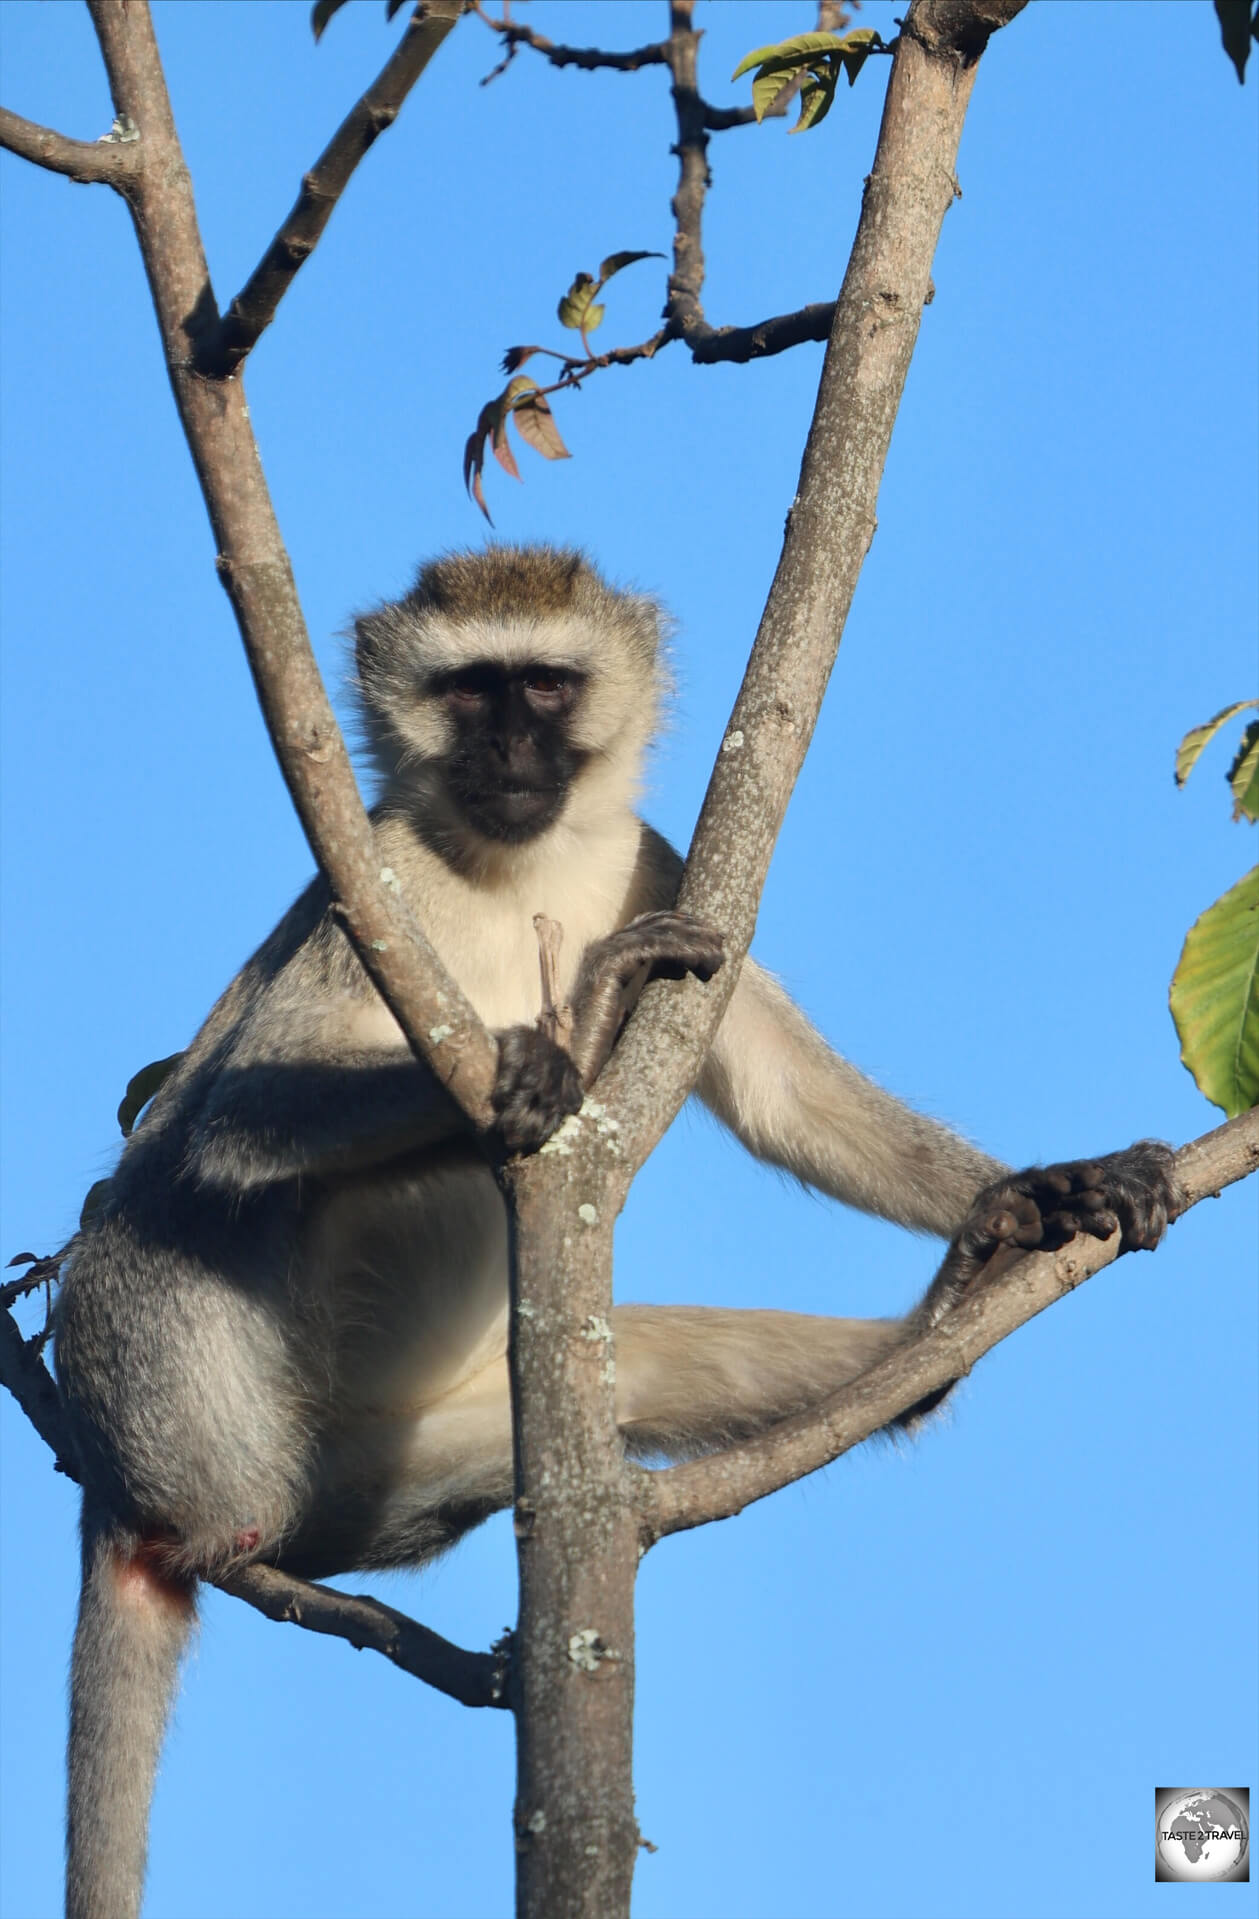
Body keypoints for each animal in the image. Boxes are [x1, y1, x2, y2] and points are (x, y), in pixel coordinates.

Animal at [51, 548, 1182, 1911]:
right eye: (468, 691)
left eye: (543, 684)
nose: (509, 749)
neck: (513, 865)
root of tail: (124, 1495)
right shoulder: (370, 890)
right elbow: (233, 1122)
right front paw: (577, 1021)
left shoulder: (657, 863)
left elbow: (777, 1088)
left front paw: (1037, 1187)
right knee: (165, 1193)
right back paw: (225, 1536)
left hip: (403, 1460)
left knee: (637, 1369)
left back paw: (941, 1319)